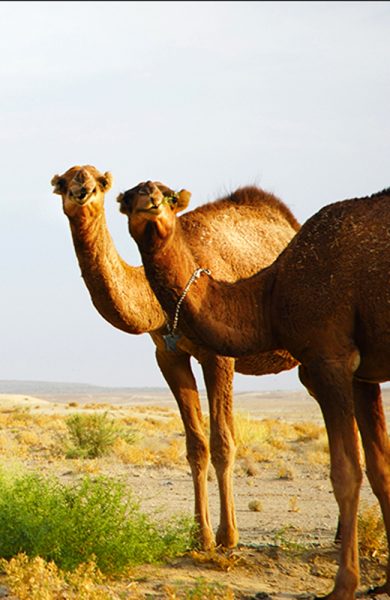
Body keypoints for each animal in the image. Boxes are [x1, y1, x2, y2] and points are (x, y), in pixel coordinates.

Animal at [49, 166, 298, 552]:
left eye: (99, 181)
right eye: (65, 181)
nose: (83, 188)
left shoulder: (219, 355)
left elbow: (222, 442)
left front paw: (228, 537)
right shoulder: (169, 355)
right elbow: (195, 445)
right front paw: (201, 537)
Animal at [118, 183, 390, 600]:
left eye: (166, 194)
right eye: (129, 198)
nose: (150, 197)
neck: (269, 292)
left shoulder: (330, 356)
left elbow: (345, 471)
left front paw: (343, 586)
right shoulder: (361, 372)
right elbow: (380, 467)